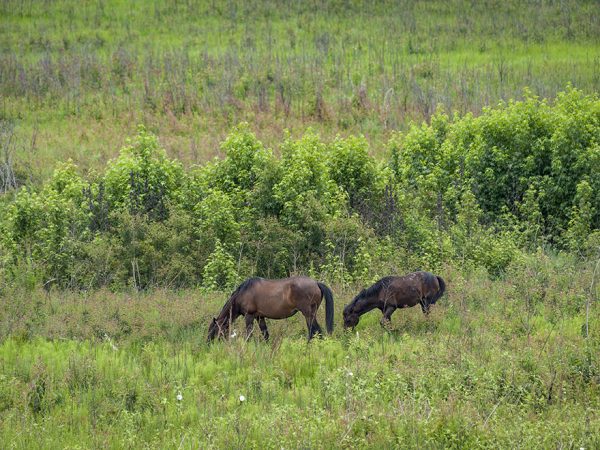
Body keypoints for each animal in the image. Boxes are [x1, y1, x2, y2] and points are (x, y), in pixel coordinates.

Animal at [207, 276, 336, 342]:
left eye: (214, 330)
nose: (208, 344)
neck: (243, 292)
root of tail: (316, 283)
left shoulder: (249, 316)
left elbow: (249, 334)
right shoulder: (260, 317)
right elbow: (265, 334)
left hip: (308, 314)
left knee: (315, 331)